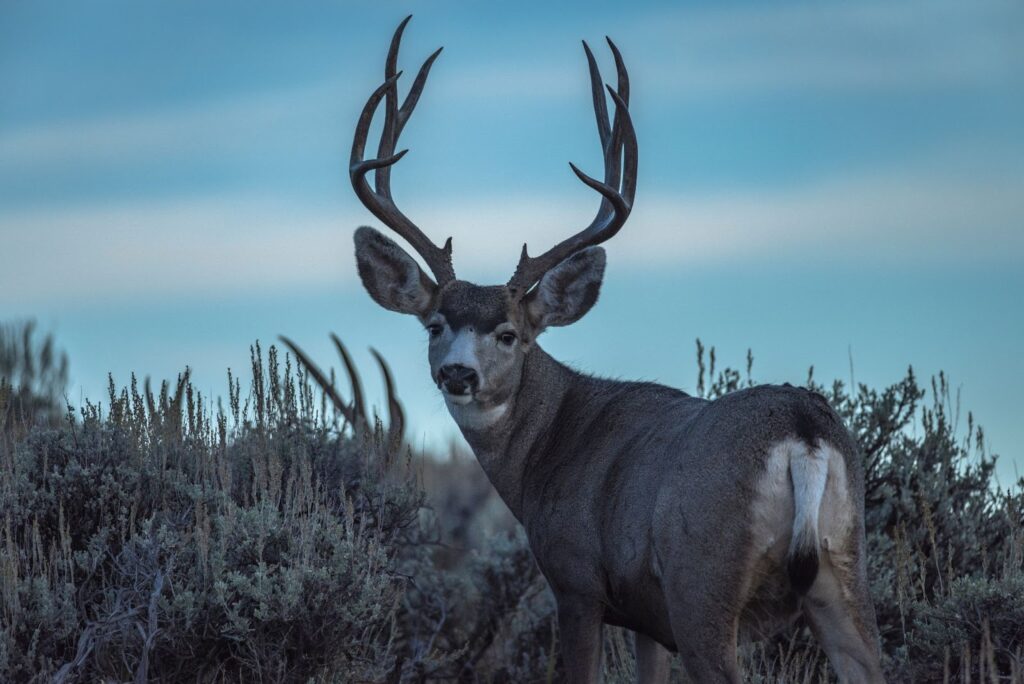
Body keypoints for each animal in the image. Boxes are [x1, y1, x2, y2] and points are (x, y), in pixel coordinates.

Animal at [345, 16, 885, 683]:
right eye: (434, 325)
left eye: (510, 334)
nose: (458, 374)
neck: (551, 446)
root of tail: (803, 431)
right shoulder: (645, 617)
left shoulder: (577, 581)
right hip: (843, 573)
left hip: (701, 584)